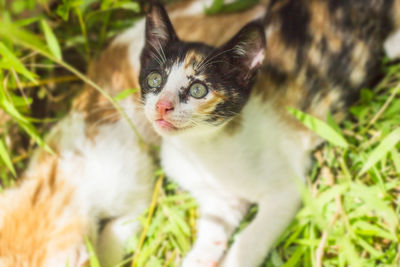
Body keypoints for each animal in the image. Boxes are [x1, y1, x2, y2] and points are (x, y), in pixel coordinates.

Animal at [139, 1, 400, 266]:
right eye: (154, 79)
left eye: (198, 90)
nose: (162, 106)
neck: (199, 148)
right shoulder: (220, 200)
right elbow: (214, 228)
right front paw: (199, 257)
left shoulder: (286, 190)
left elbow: (250, 241)